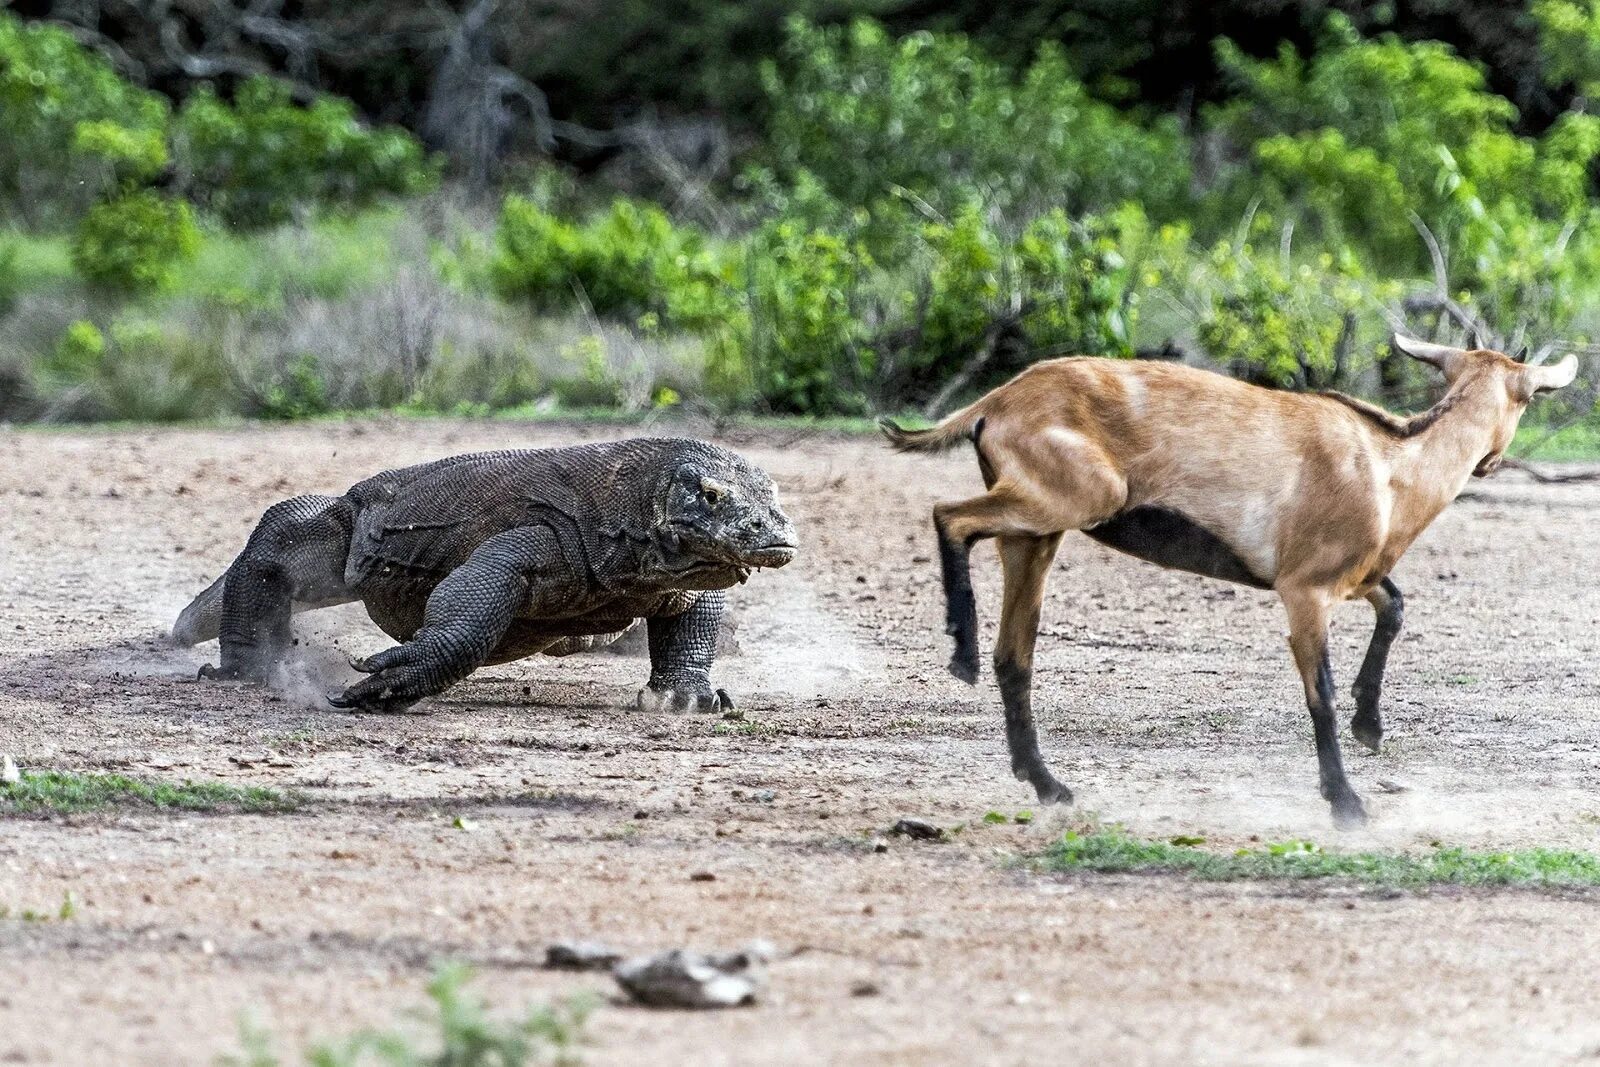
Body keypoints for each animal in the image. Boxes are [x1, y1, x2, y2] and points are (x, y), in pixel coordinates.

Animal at [883, 335, 1580, 825]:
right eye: (1528, 398)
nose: (1490, 464)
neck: (1391, 468)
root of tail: (995, 402)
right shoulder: (1304, 591)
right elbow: (1319, 694)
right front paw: (1346, 803)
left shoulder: (1355, 578)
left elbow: (1395, 607)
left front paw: (1371, 726)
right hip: (1072, 499)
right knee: (949, 516)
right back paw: (962, 655)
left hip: (1037, 535)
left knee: (1016, 654)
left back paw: (1048, 782)